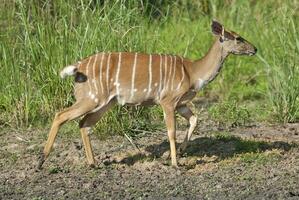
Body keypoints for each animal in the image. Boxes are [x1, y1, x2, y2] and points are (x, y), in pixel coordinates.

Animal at [37, 20, 258, 168]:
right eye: (238, 38)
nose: (255, 49)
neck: (193, 73)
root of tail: (78, 67)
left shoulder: (181, 103)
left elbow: (194, 120)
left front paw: (175, 154)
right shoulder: (167, 101)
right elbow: (171, 131)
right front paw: (175, 163)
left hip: (106, 102)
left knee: (84, 124)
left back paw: (93, 164)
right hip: (91, 98)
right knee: (61, 115)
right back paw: (41, 161)